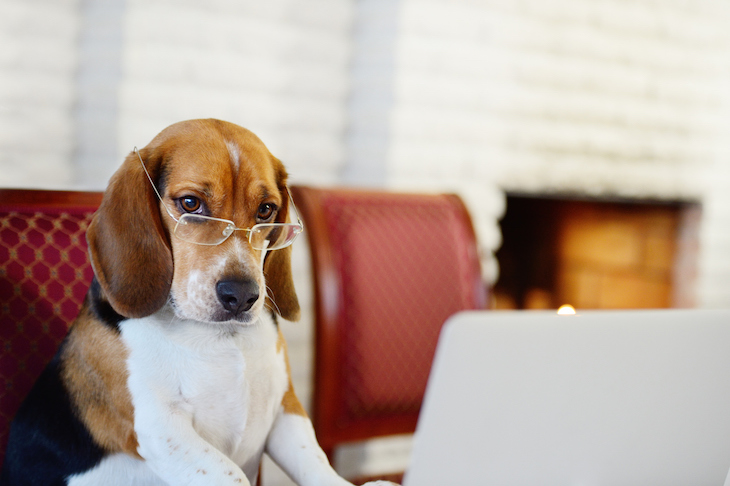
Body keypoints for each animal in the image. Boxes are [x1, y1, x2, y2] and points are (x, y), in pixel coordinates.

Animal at [1, 120, 398, 486]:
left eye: (266, 210)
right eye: (191, 203)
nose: (241, 295)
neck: (220, 338)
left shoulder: (286, 408)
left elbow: (316, 463)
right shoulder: (161, 428)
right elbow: (231, 473)